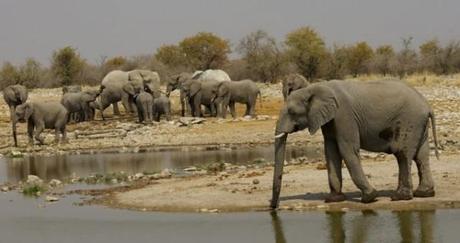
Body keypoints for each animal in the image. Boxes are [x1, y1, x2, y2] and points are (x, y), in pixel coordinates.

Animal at [272, 79, 440, 209]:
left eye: (292, 112)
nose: (273, 207)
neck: (315, 87)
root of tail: (427, 106)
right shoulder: (329, 120)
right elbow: (331, 152)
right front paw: (333, 200)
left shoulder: (343, 115)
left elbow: (347, 150)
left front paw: (370, 198)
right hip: (419, 124)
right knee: (421, 155)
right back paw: (424, 193)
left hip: (410, 120)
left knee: (402, 154)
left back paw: (399, 197)